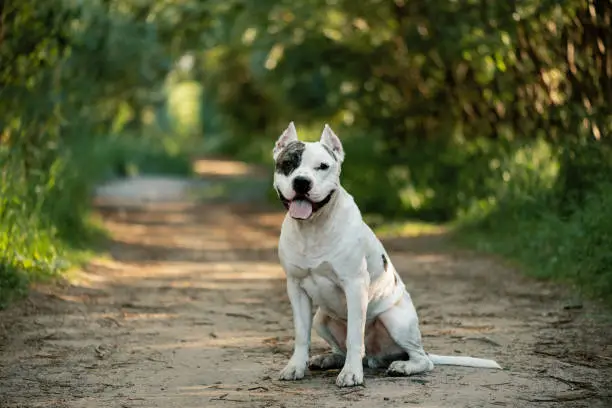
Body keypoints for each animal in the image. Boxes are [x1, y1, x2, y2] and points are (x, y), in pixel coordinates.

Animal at [274, 122, 502, 388]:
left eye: (323, 166)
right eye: (288, 163)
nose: (301, 182)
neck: (313, 228)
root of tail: (376, 356)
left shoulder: (354, 285)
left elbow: (354, 336)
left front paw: (351, 374)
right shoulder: (296, 287)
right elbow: (302, 335)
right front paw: (295, 367)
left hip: (395, 320)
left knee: (423, 359)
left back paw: (403, 366)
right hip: (322, 318)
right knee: (343, 348)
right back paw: (329, 359)